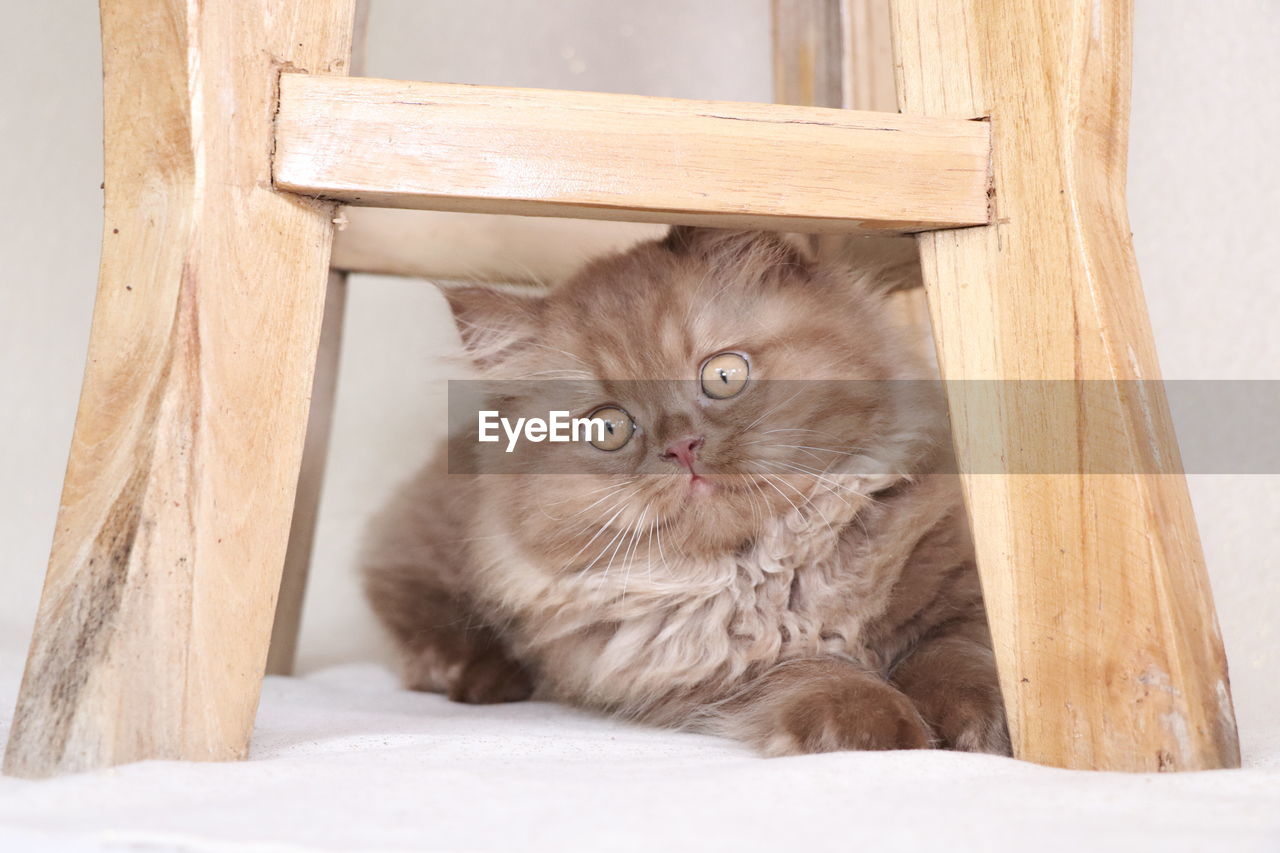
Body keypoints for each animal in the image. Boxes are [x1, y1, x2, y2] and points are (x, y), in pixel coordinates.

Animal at [363, 225, 1008, 753]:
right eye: (609, 427)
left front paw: (983, 728)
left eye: (723, 375)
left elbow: (960, 658)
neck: (765, 570)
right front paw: (877, 730)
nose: (681, 447)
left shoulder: (960, 595)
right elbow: (809, 670)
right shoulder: (704, 671)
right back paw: (482, 677)